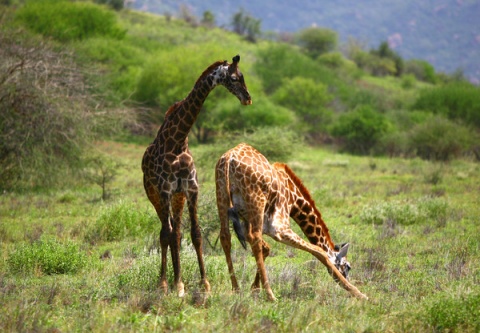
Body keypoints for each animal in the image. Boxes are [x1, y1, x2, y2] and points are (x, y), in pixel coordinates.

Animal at [142, 54, 253, 296]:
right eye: (233, 78)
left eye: (243, 76)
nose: (247, 99)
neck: (177, 142)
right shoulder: (165, 190)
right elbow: (167, 234)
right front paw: (171, 284)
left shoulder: (191, 190)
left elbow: (195, 234)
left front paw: (204, 284)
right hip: (154, 196)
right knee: (165, 232)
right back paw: (165, 282)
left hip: (178, 197)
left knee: (175, 232)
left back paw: (177, 280)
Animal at [215, 143, 368, 300]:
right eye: (347, 266)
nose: (348, 278)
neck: (294, 199)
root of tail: (229, 159)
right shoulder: (278, 228)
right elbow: (320, 250)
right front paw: (357, 292)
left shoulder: (248, 223)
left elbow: (266, 249)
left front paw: (255, 288)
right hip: (256, 203)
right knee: (254, 239)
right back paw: (270, 295)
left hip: (221, 195)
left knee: (225, 237)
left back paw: (236, 289)